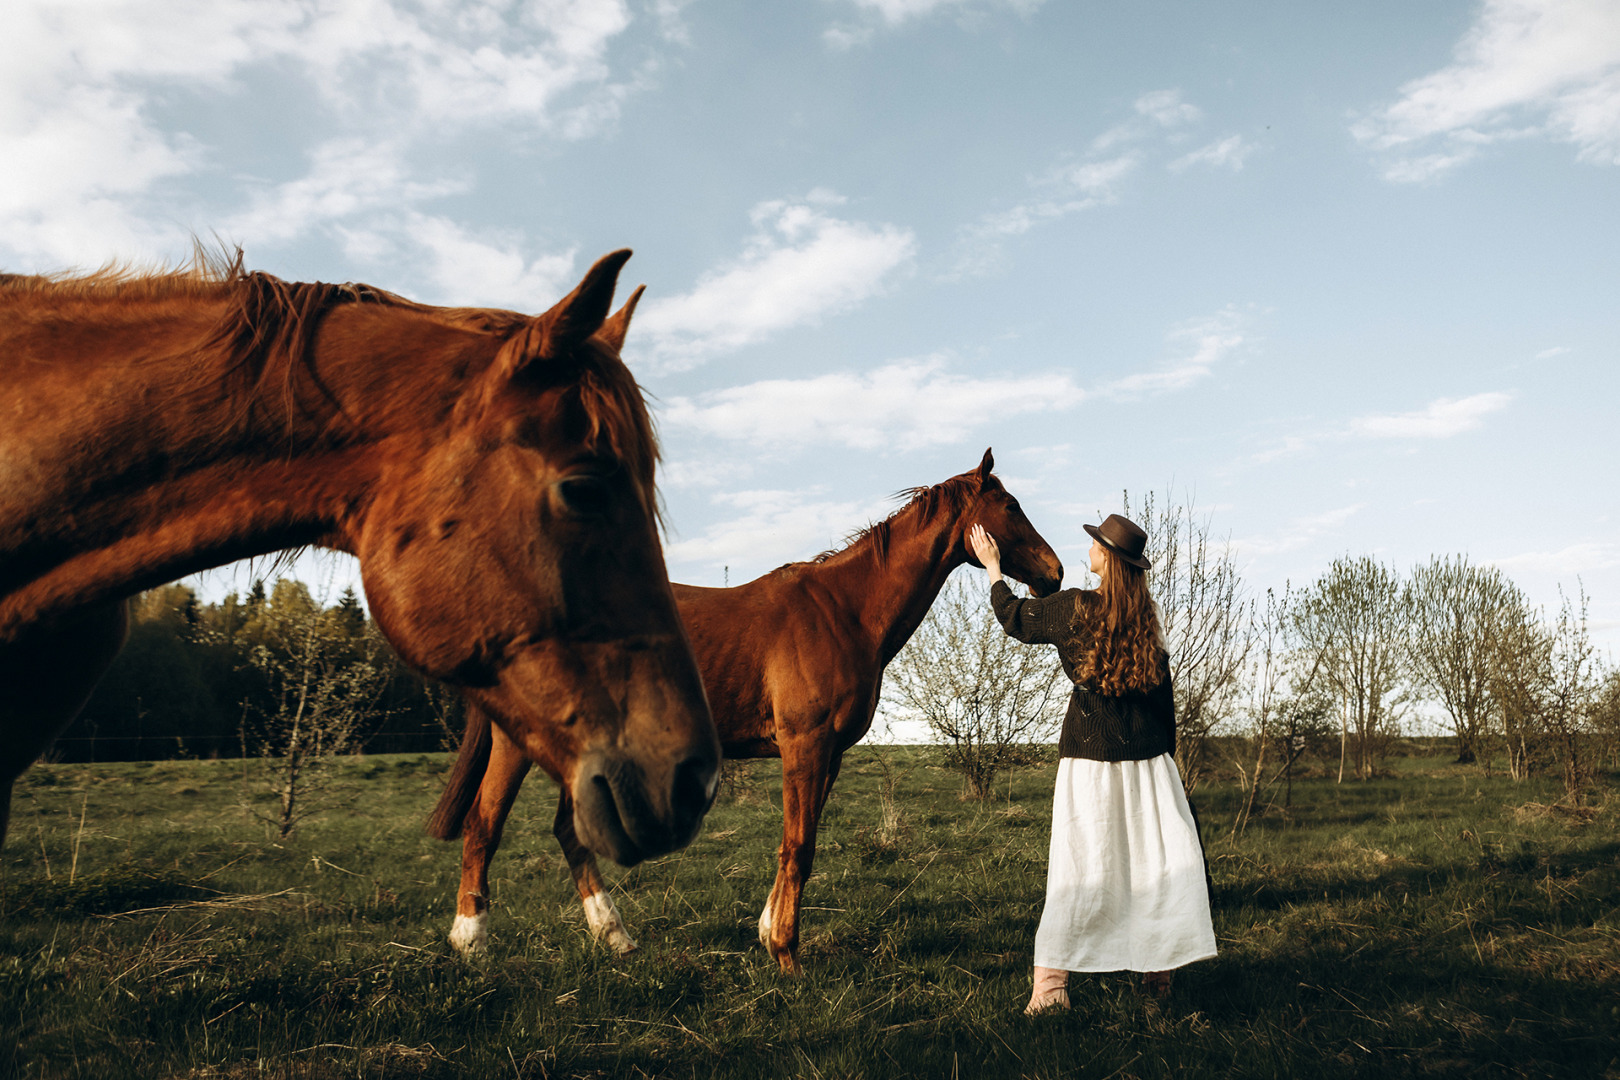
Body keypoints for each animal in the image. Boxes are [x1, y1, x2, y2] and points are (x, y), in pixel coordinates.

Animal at [430, 446, 1062, 971]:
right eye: (1009, 504)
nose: (1053, 574)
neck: (844, 609)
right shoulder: (804, 744)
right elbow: (799, 844)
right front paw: (785, 953)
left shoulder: (828, 753)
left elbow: (799, 841)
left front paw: (767, 932)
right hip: (517, 744)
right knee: (484, 826)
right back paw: (471, 942)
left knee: (568, 830)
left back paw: (615, 938)